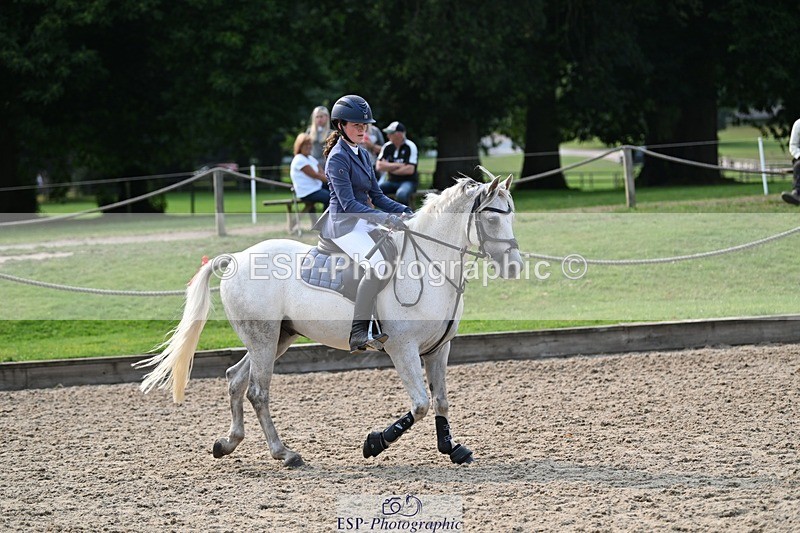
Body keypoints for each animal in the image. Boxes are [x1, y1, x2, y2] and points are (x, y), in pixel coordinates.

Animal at [136, 167, 523, 467]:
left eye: (512, 215)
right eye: (491, 217)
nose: (515, 267)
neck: (429, 265)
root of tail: (236, 258)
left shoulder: (439, 349)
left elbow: (441, 400)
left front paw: (451, 448)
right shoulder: (403, 349)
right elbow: (422, 404)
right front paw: (373, 443)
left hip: (276, 338)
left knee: (235, 379)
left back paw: (227, 443)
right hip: (263, 339)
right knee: (258, 391)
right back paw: (285, 454)